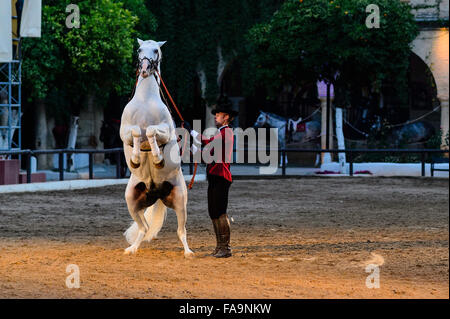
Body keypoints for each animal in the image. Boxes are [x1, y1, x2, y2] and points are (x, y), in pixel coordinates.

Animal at [119, 38, 193, 258]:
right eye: (139, 50)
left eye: (156, 51)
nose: (144, 70)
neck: (145, 100)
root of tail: (157, 193)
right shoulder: (124, 130)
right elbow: (137, 132)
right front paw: (135, 158)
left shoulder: (166, 130)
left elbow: (151, 131)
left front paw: (158, 157)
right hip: (132, 201)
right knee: (143, 228)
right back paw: (132, 249)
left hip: (180, 202)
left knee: (181, 231)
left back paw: (188, 252)